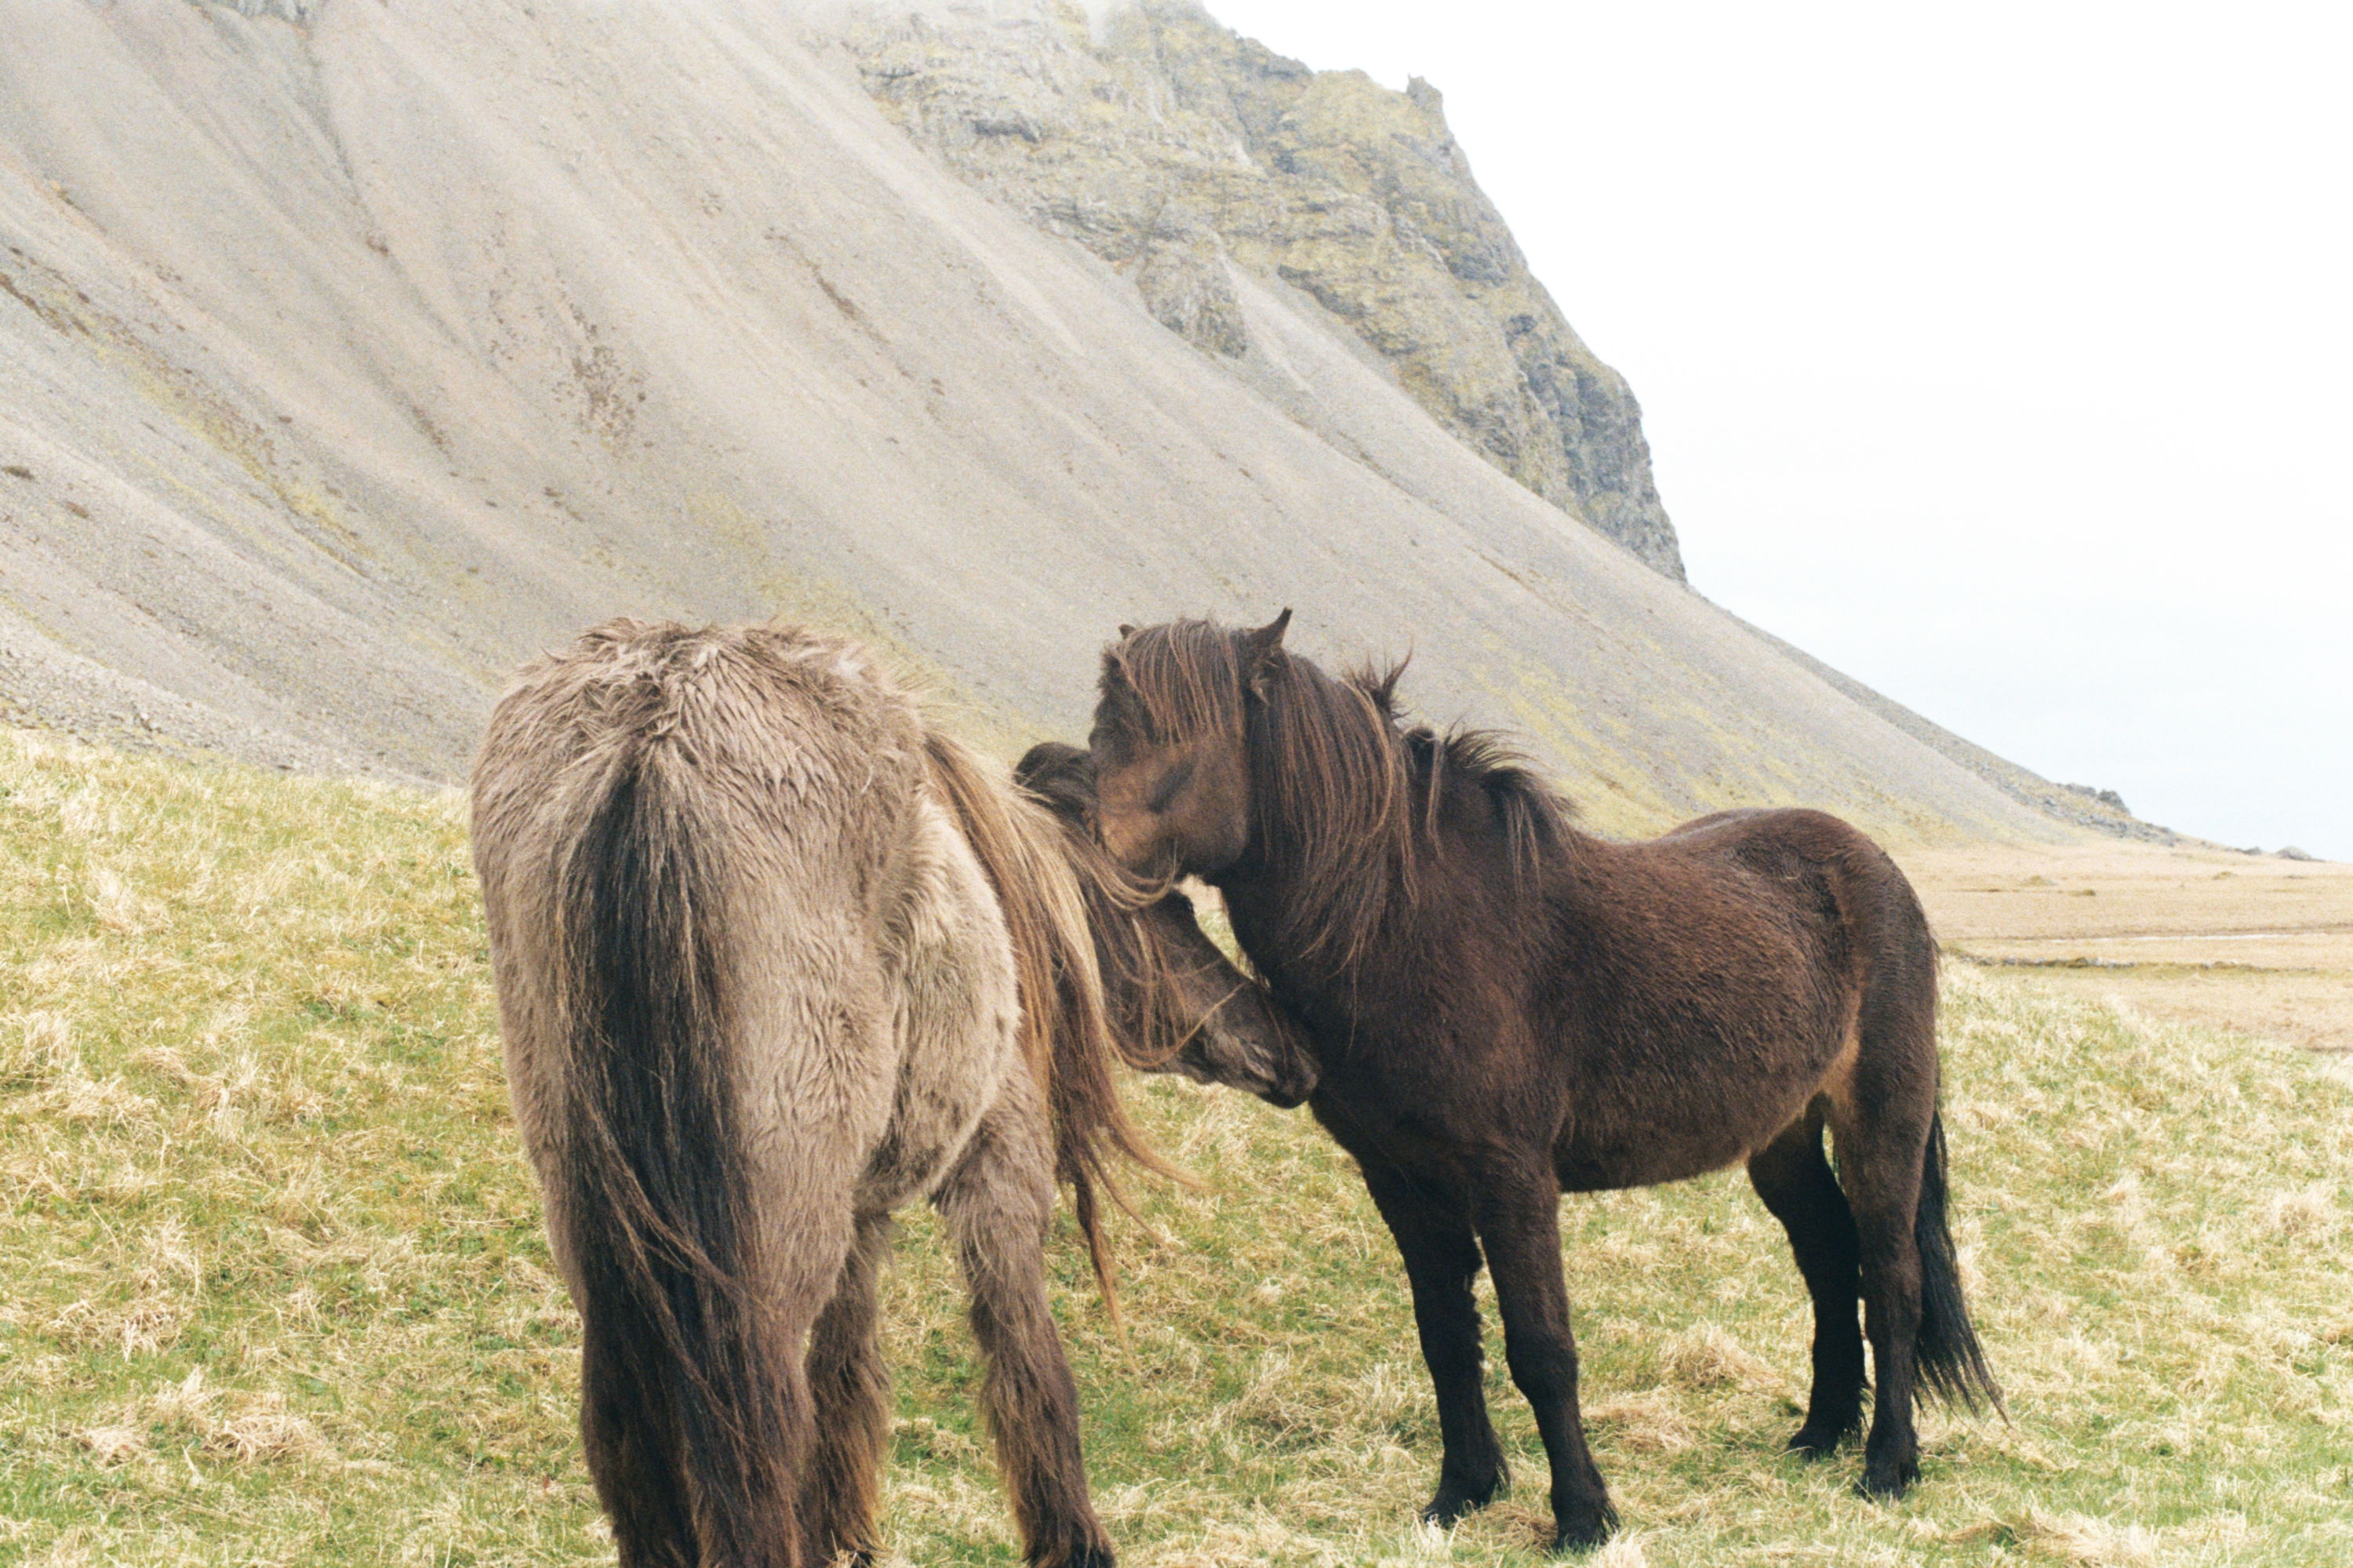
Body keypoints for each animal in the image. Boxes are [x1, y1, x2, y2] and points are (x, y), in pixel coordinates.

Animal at [470, 619, 1300, 1568]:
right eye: (1172, 907)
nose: (1288, 1048)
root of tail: (651, 745)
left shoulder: (861, 1215)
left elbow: (849, 1368)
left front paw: (844, 1533)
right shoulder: (999, 1168)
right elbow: (1028, 1364)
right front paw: (1074, 1541)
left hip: (601, 1216)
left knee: (626, 1426)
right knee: (760, 1433)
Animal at [1083, 611, 2002, 1553]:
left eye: (1176, 733)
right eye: (1104, 723)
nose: (1085, 838)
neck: (1406, 921)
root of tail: (1875, 865)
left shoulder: (1511, 1176)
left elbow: (1541, 1347)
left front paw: (1582, 1515)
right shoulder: (1401, 1179)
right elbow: (1448, 1340)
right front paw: (1461, 1492)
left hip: (1880, 1119)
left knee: (1889, 1276)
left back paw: (1888, 1463)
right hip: (1781, 1135)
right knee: (1828, 1259)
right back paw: (1821, 1432)